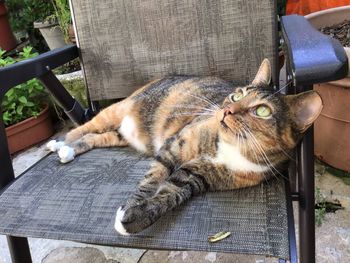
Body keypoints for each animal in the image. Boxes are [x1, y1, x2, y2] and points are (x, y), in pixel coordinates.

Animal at [46, 59, 322, 235]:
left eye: (262, 110)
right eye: (236, 95)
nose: (227, 109)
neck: (233, 148)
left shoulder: (196, 176)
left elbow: (170, 194)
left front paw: (135, 219)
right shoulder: (174, 147)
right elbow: (151, 181)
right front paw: (132, 205)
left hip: (120, 135)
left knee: (97, 138)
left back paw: (69, 150)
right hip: (117, 110)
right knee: (85, 127)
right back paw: (60, 143)